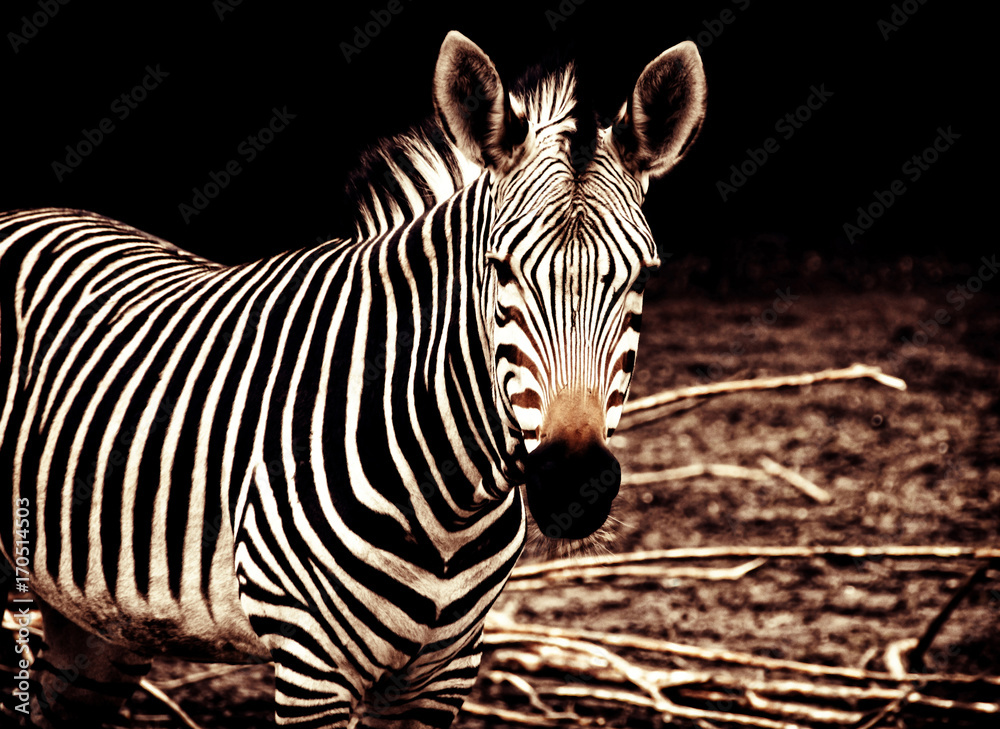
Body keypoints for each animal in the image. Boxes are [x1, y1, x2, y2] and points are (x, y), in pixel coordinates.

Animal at [0, 31, 705, 728]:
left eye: (642, 276)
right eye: (500, 268)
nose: (574, 485)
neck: (452, 502)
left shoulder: (444, 674)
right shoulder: (312, 665)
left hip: (97, 625)